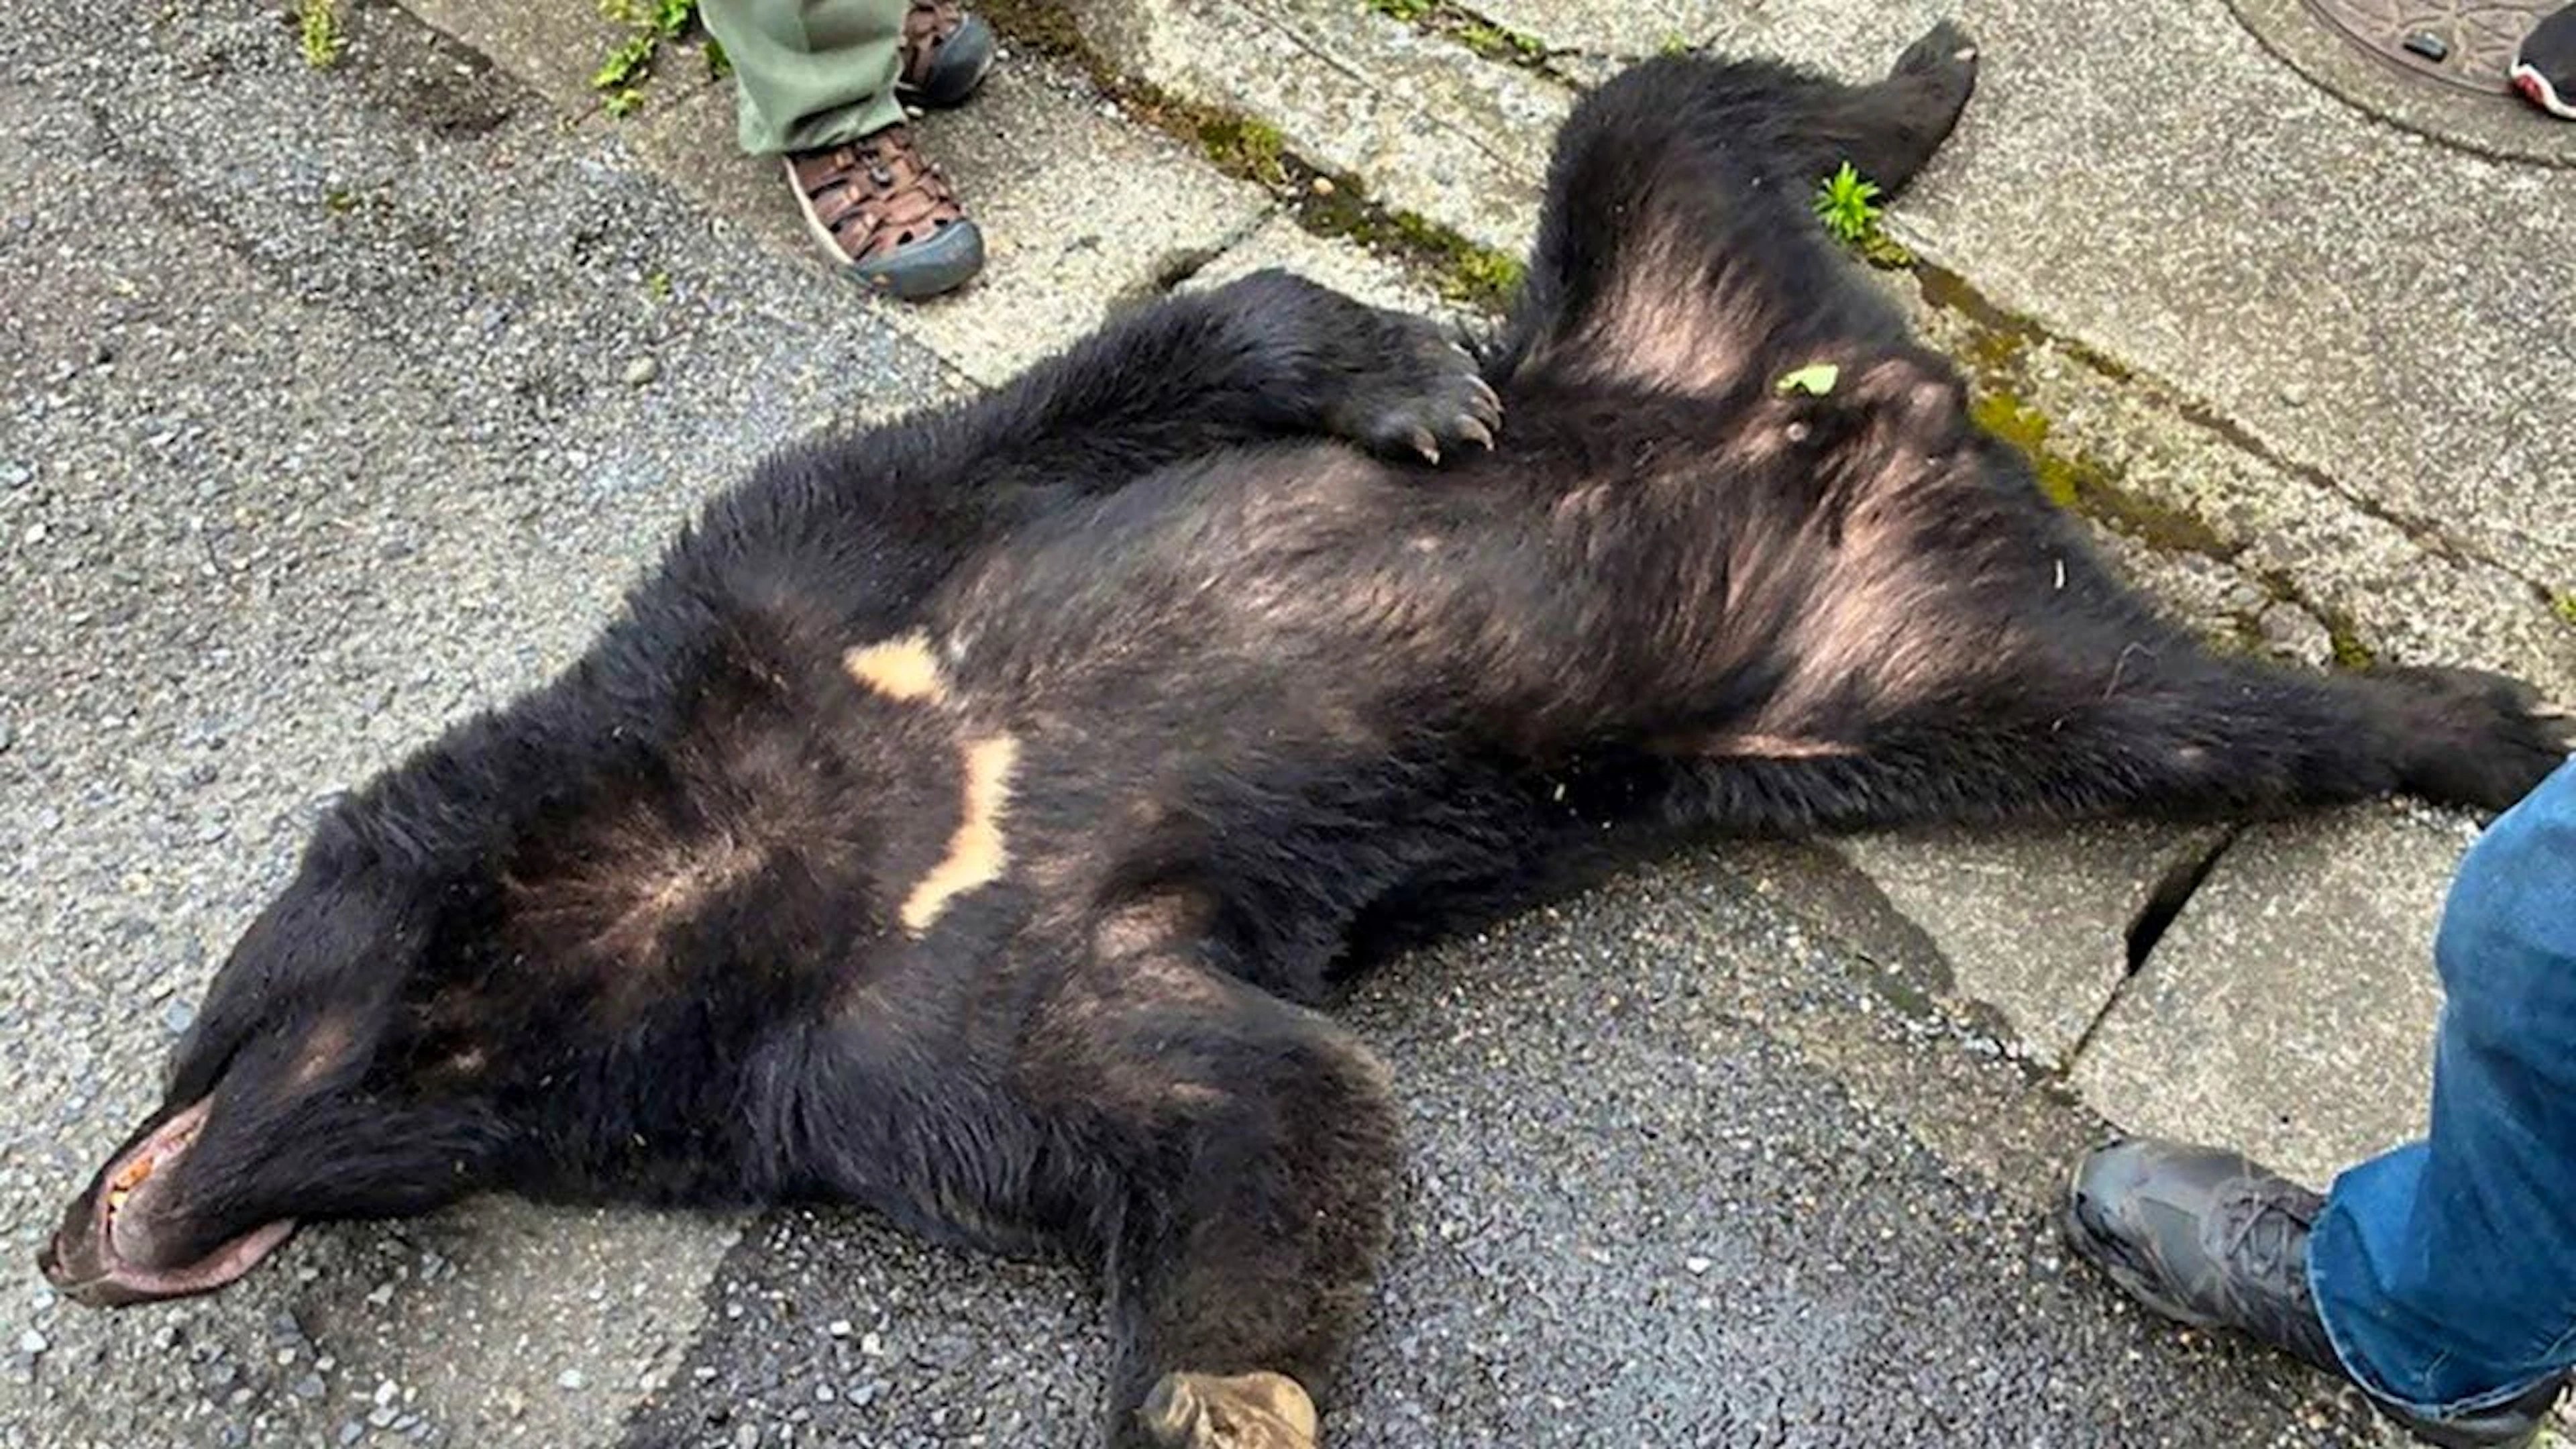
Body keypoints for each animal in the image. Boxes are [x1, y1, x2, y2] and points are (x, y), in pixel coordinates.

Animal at [39, 23, 2568, 1449]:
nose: (78, 1241)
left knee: (1669, 100)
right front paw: (1221, 1389)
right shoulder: (881, 1045)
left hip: (1654, 283)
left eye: (210, 1003)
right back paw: (2458, 715)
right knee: (2186, 715)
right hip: (1914, 672)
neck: (704, 871)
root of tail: (1885, 399)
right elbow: (1246, 1105)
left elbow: (1104, 388)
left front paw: (1405, 383)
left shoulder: (807, 581)